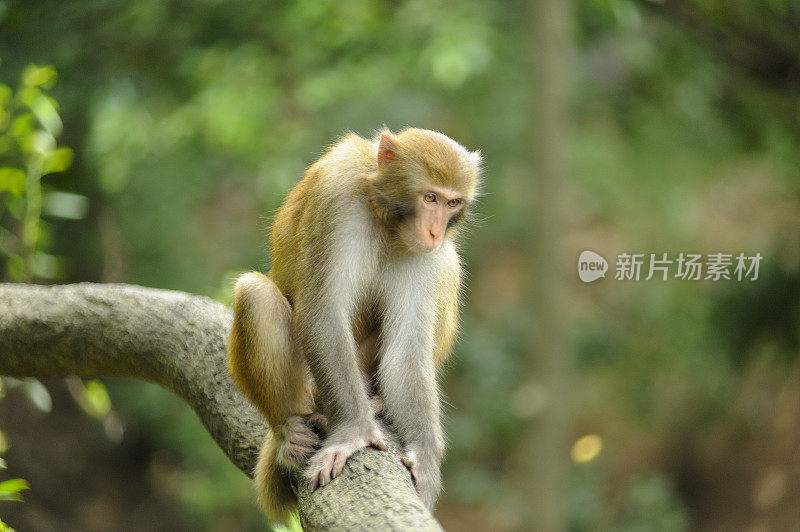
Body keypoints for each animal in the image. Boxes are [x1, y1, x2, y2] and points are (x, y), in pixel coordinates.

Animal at [228, 127, 484, 520]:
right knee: (255, 293)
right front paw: (355, 432)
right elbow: (323, 312)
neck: (383, 213)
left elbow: (407, 352)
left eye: (452, 203)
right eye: (430, 197)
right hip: (308, 388)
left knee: (449, 263)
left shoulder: (426, 256)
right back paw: (287, 430)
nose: (435, 232)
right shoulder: (336, 198)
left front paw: (425, 456)